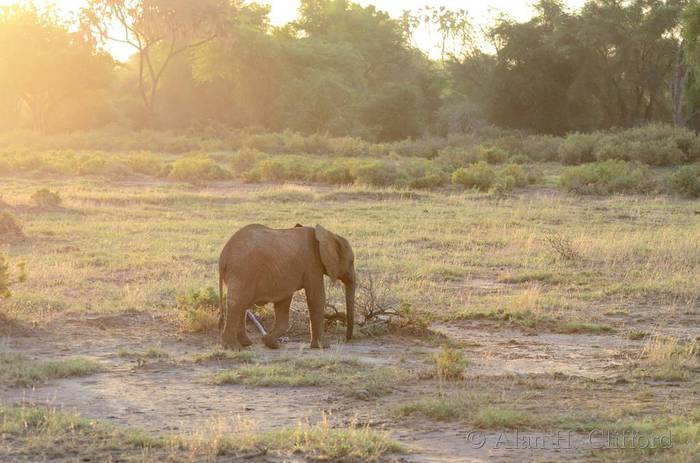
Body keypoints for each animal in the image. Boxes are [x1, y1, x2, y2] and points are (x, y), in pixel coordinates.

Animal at [217, 223, 356, 350]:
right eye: (352, 261)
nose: (346, 339)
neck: (329, 234)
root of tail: (223, 256)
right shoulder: (312, 265)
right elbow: (316, 299)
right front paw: (324, 347)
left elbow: (283, 302)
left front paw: (271, 343)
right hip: (242, 271)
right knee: (237, 303)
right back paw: (233, 347)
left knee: (243, 304)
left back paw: (246, 343)